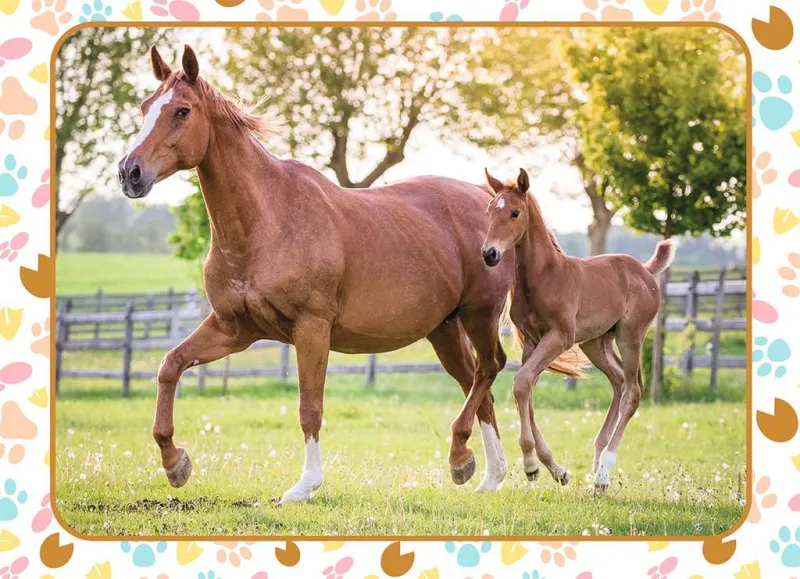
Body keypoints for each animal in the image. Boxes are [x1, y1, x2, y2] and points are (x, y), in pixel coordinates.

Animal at [117, 45, 583, 504]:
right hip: (444, 329)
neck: (268, 220)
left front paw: (305, 486)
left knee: (491, 368)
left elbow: (309, 407)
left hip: (478, 315)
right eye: (144, 107)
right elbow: (170, 365)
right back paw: (487, 473)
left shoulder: (311, 328)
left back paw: (466, 457)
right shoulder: (234, 328)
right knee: (476, 381)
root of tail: (488, 201)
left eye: (182, 111)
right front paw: (175, 463)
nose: (129, 173)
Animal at [481, 168, 676, 493]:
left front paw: (531, 465)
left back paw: (603, 473)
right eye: (488, 211)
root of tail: (645, 271)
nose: (489, 254)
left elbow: (521, 383)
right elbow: (526, 389)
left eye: (514, 212)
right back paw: (598, 464)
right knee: (619, 382)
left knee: (634, 390)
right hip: (596, 343)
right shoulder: (532, 341)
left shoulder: (560, 337)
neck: (543, 277)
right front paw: (554, 469)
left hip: (630, 335)